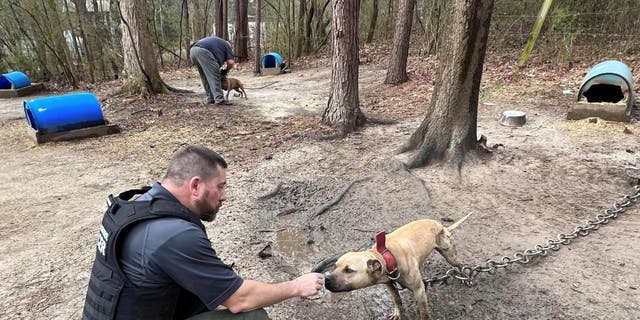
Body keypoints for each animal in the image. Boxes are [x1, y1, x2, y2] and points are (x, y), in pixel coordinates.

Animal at [324, 212, 470, 320]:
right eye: (335, 266)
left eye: (349, 270)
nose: (326, 279)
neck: (385, 256)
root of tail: (442, 225)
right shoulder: (389, 285)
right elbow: (397, 300)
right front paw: (398, 313)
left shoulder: (418, 291)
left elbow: (424, 312)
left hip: (450, 256)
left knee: (459, 264)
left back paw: (465, 276)